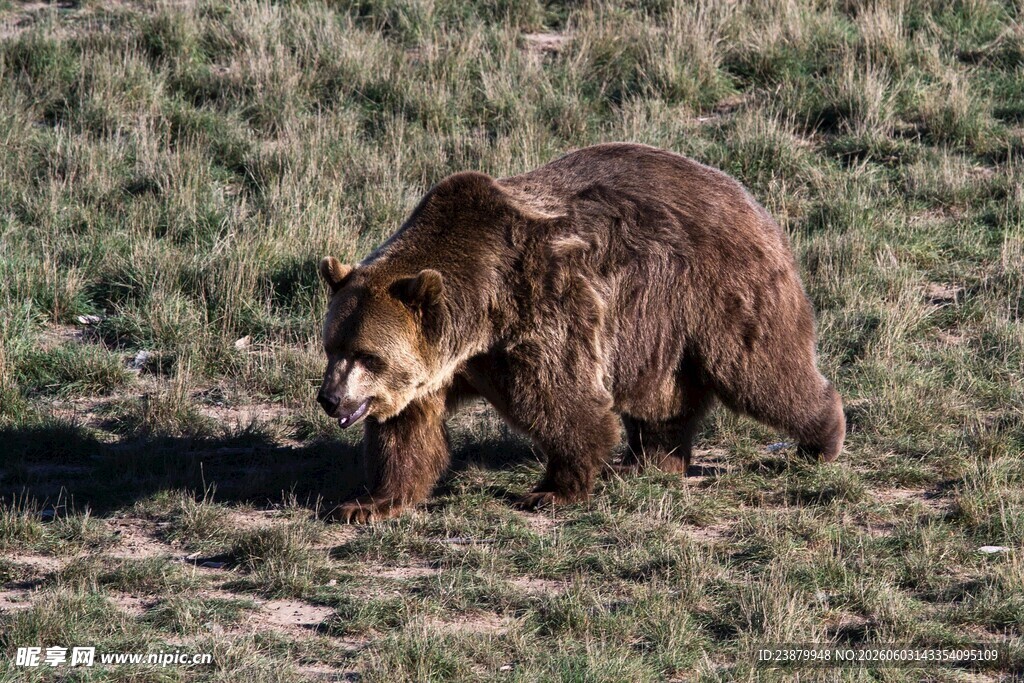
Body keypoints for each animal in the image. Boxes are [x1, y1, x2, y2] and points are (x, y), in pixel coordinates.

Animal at [316, 143, 845, 523]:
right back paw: (650, 459)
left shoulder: (539, 311)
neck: (478, 318)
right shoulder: (434, 371)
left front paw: (551, 490)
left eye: (369, 356)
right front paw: (368, 504)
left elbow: (564, 403)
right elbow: (406, 435)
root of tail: (746, 195)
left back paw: (822, 438)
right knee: (663, 399)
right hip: (658, 327)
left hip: (719, 291)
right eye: (332, 347)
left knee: (761, 372)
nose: (330, 398)